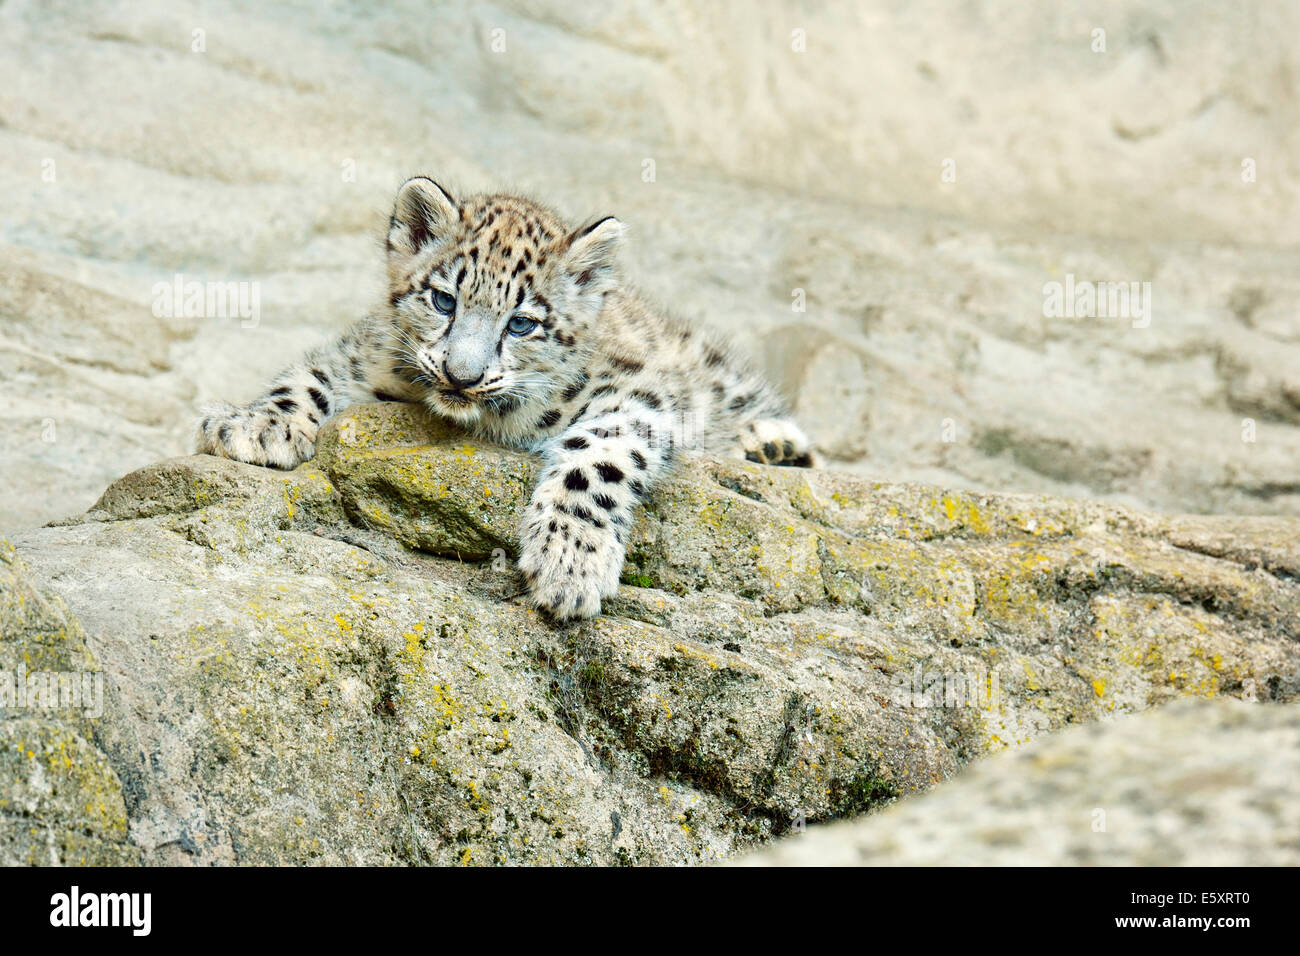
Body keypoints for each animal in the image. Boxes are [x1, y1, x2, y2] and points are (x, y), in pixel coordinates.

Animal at [196, 177, 816, 620]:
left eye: (522, 323)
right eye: (443, 300)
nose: (461, 375)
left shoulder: (642, 393)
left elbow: (599, 456)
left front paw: (570, 563)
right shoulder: (369, 356)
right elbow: (310, 377)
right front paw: (252, 425)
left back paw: (773, 446)